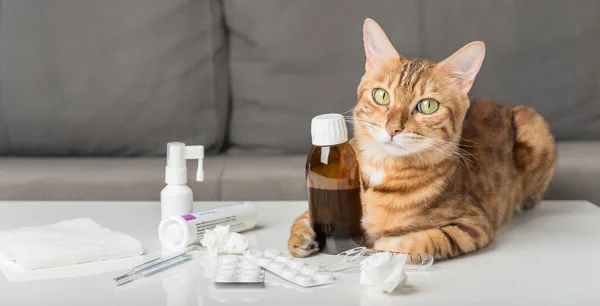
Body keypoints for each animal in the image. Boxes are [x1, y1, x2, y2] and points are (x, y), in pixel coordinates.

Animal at [288, 17, 556, 260]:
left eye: (428, 105)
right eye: (381, 96)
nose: (393, 128)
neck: (382, 167)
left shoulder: (473, 225)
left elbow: (422, 241)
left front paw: (380, 243)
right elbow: (305, 216)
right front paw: (301, 236)